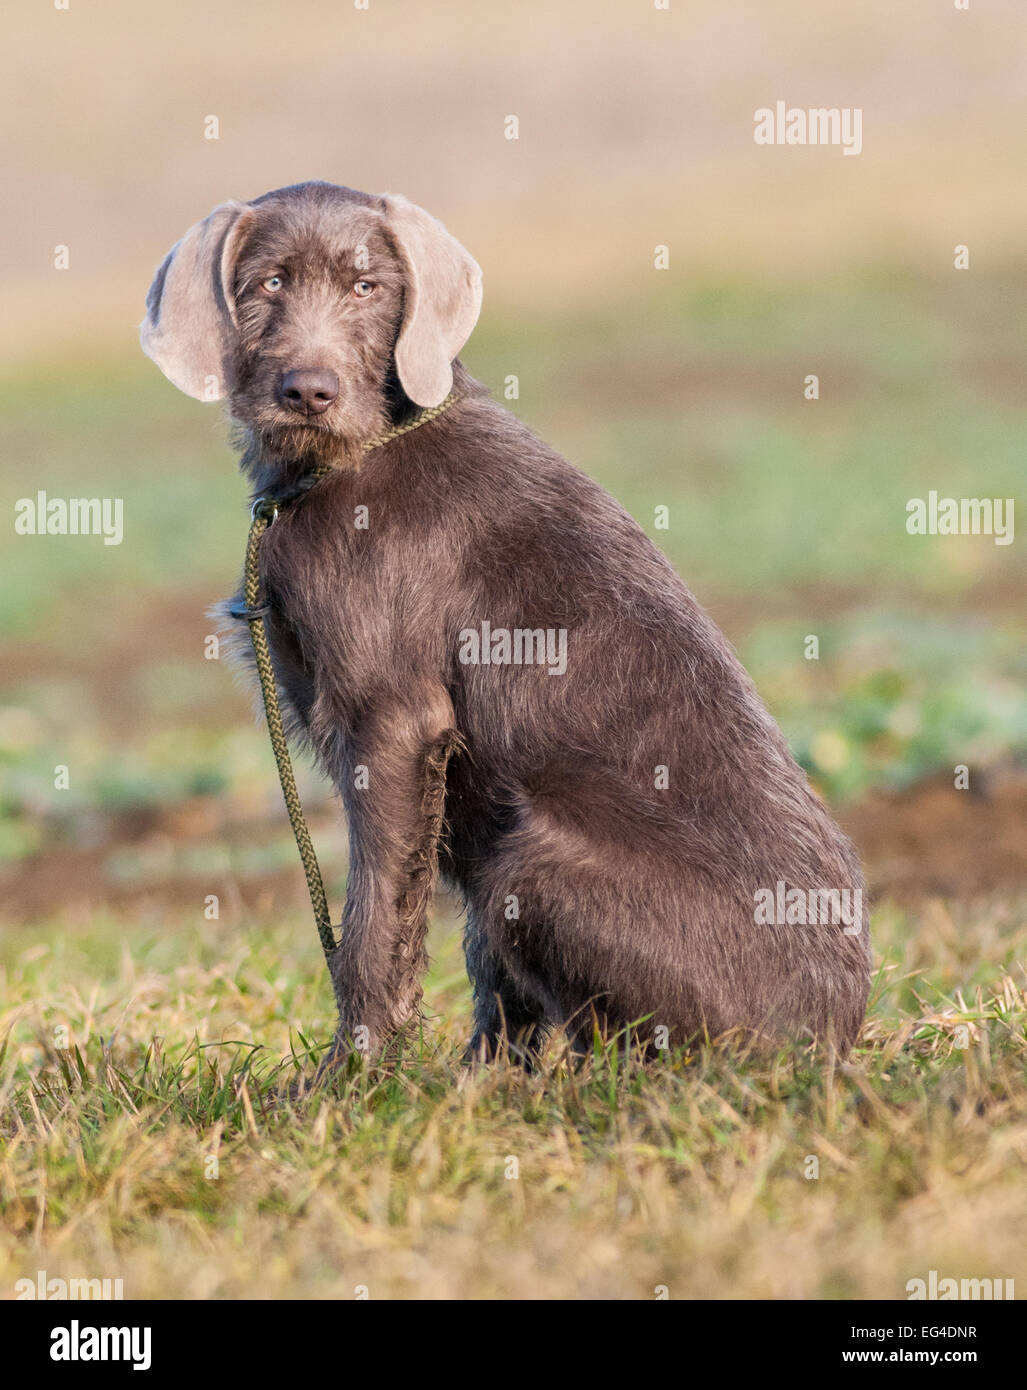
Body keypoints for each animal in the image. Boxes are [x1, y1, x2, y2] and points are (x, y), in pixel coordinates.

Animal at [140, 179, 872, 1056]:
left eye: (367, 286)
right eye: (267, 283)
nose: (309, 392)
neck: (352, 454)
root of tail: (833, 1034)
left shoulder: (395, 723)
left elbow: (370, 926)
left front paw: (354, 1076)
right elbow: (479, 966)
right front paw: (473, 1080)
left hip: (532, 855)